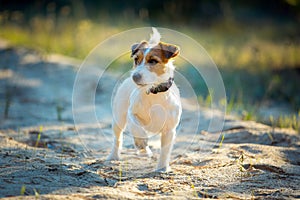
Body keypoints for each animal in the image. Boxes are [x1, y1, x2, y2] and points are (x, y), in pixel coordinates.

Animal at [106, 27, 182, 172]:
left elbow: (165, 150)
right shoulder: (131, 113)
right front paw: (141, 143)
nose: (134, 76)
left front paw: (162, 168)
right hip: (118, 118)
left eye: (153, 61)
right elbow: (137, 128)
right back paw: (115, 156)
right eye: (136, 60)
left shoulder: (169, 129)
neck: (154, 93)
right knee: (117, 139)